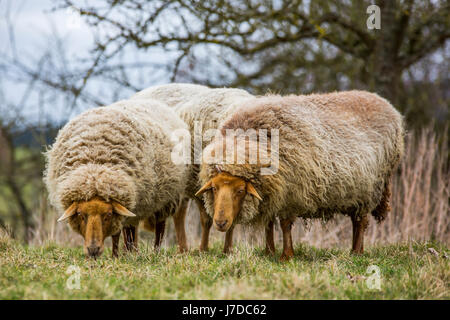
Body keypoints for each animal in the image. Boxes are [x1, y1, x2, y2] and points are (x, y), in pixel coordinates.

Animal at [46, 98, 192, 258]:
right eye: (80, 214)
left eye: (108, 215)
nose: (93, 250)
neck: (95, 167)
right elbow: (120, 233)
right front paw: (116, 255)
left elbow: (119, 233)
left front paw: (117, 256)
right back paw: (131, 251)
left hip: (165, 199)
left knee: (159, 227)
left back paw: (154, 252)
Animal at [196, 90, 404, 260]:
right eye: (214, 188)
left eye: (240, 190)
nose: (220, 223)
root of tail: (387, 105)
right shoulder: (272, 191)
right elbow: (269, 223)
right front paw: (269, 251)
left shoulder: (291, 192)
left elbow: (285, 224)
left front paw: (286, 256)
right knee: (356, 220)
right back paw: (355, 250)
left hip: (370, 189)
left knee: (361, 222)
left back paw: (356, 252)